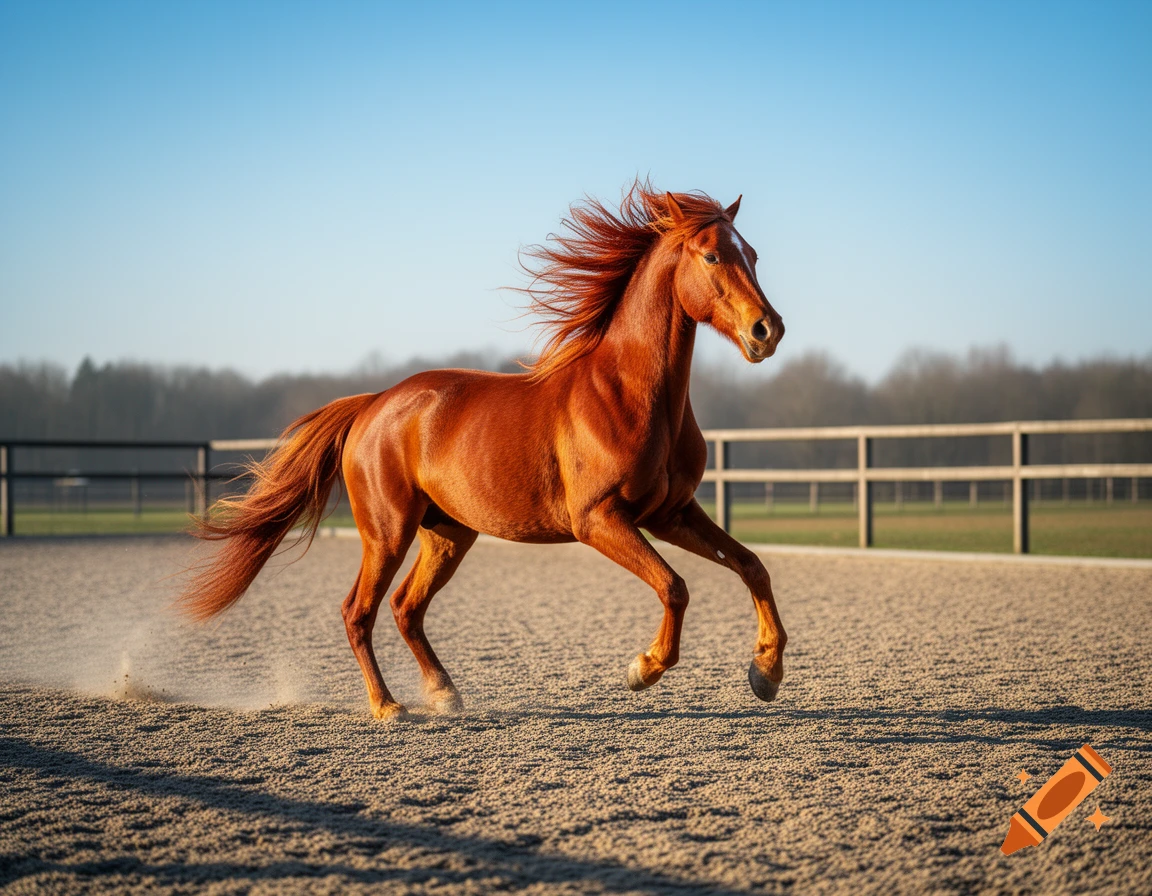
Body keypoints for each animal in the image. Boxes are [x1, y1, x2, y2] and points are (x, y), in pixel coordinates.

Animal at [181, 182, 787, 720]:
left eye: (754, 255)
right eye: (712, 255)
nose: (768, 330)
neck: (629, 396)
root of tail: (374, 404)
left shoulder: (670, 513)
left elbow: (752, 567)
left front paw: (766, 674)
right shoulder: (599, 520)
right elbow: (674, 587)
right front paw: (644, 668)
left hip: (448, 533)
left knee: (405, 608)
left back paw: (444, 694)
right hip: (387, 532)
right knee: (359, 610)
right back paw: (387, 706)